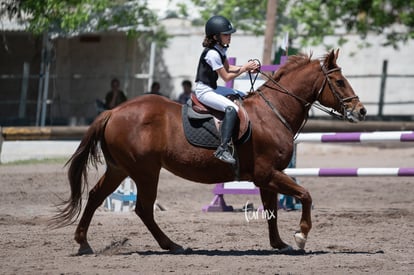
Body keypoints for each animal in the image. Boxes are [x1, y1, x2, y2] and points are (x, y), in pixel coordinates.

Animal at [54, 50, 366, 256]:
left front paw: (280, 244)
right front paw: (300, 236)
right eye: (340, 82)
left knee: (96, 196)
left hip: (120, 169)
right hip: (144, 171)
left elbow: (272, 210)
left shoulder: (268, 177)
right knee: (142, 208)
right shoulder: (268, 173)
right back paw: (171, 245)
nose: (361, 111)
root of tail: (114, 111)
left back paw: (84, 243)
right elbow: (306, 195)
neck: (272, 113)